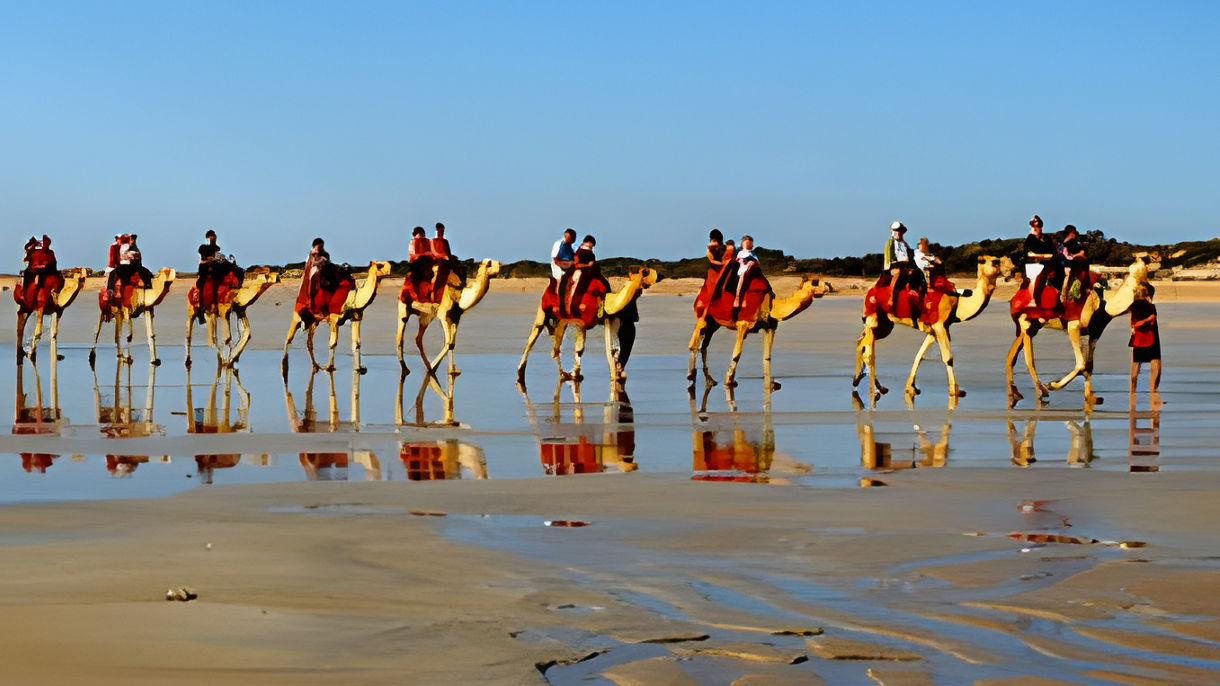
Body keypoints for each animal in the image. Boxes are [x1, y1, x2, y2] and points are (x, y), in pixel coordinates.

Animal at [517, 266, 657, 387]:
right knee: (534, 337)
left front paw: (577, 375)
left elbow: (607, 351)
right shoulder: (582, 322)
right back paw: (520, 375)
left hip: (560, 320)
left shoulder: (606, 318)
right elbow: (580, 348)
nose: (656, 276)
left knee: (555, 346)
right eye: (644, 272)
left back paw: (563, 374)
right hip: (542, 312)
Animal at [688, 272, 829, 388]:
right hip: (703, 318)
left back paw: (710, 381)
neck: (771, 306)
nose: (829, 285)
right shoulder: (743, 325)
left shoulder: (770, 327)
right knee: (693, 345)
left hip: (714, 324)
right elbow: (736, 354)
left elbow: (767, 357)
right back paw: (691, 380)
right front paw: (728, 381)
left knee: (704, 346)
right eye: (815, 281)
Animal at [853, 256, 1013, 407]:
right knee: (867, 350)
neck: (958, 303)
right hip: (874, 317)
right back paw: (872, 389)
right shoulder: (939, 326)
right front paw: (955, 391)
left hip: (884, 324)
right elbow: (948, 358)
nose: (1012, 269)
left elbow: (919, 355)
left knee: (862, 344)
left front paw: (911, 388)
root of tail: (871, 290)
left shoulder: (934, 330)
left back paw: (869, 384)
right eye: (995, 261)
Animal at [1005, 257, 1152, 408]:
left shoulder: (1094, 332)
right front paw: (1053, 385)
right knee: (1028, 358)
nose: (1141, 259)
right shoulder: (1073, 326)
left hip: (1035, 325)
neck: (1104, 306)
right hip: (1027, 321)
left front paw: (1091, 398)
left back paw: (1015, 393)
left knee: (1012, 356)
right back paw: (1041, 390)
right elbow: (1081, 364)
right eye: (1143, 284)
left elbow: (1089, 366)